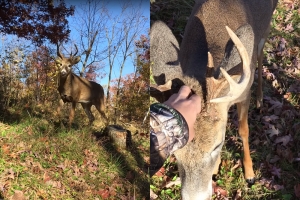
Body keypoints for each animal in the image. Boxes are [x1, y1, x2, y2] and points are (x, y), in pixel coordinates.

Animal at [151, 0, 278, 199]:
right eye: (175, 152)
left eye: (217, 145)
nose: (195, 197)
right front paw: (217, 168)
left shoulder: (243, 94)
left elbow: (243, 131)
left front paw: (250, 174)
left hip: (266, 28)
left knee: (260, 54)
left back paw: (260, 99)